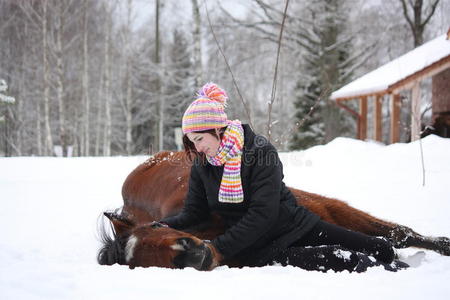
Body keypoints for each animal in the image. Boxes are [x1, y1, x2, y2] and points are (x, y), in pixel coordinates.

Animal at [98, 150, 450, 270]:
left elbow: (396, 236)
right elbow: (336, 255)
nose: (191, 254)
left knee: (398, 234)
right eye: (141, 263)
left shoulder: (323, 211)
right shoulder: (275, 253)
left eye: (157, 228)